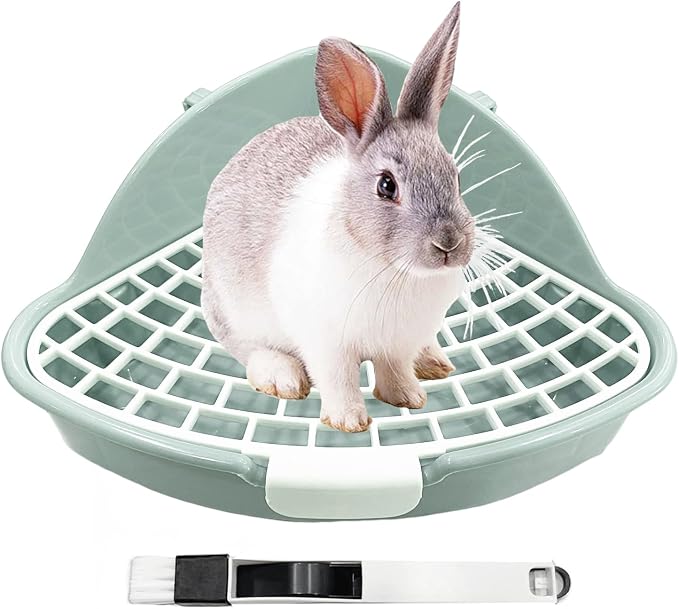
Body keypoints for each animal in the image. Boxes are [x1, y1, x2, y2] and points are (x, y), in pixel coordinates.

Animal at [202, 2, 473, 432]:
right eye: (386, 186)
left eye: (457, 177)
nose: (449, 243)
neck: (394, 271)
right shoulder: (325, 343)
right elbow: (339, 378)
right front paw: (348, 422)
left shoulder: (397, 343)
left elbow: (395, 370)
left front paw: (409, 399)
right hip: (233, 312)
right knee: (248, 348)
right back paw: (282, 378)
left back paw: (434, 362)